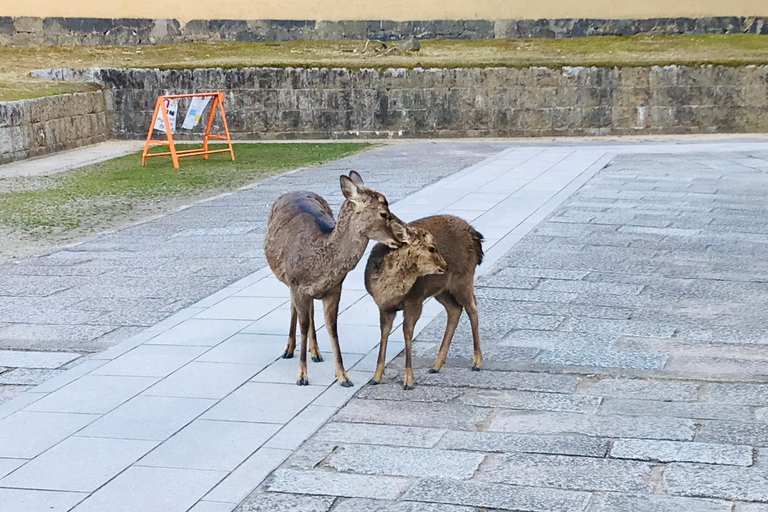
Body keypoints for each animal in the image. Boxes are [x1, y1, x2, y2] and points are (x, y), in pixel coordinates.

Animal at [264, 170, 402, 386]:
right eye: (384, 213)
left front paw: (343, 376)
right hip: (288, 279)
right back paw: (288, 349)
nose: (400, 239)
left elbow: (332, 326)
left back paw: (316, 352)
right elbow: (303, 324)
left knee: (310, 311)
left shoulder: (335, 288)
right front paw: (302, 376)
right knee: (294, 307)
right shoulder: (297, 284)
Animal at [364, 215, 484, 388]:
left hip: (463, 277)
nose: (445, 265)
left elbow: (407, 332)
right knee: (455, 309)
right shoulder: (384, 307)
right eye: (431, 248)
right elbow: (384, 333)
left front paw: (408, 381)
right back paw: (436, 366)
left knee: (472, 307)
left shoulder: (415, 301)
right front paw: (376, 377)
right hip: (442, 289)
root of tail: (476, 236)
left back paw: (476, 362)